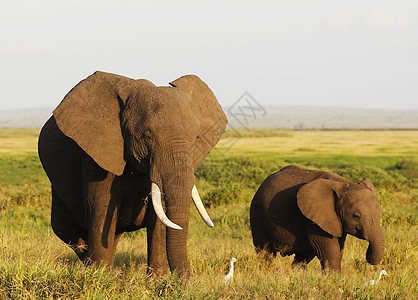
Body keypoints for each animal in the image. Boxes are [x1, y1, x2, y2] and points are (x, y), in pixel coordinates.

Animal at [38, 71, 227, 276]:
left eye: (195, 138)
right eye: (147, 137)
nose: (185, 281)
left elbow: (159, 214)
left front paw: (158, 279)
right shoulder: (95, 156)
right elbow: (101, 211)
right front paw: (101, 277)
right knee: (67, 231)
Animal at [250, 165, 384, 270]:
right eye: (356, 216)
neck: (344, 185)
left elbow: (338, 249)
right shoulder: (313, 218)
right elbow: (330, 251)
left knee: (303, 256)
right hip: (257, 215)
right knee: (265, 252)